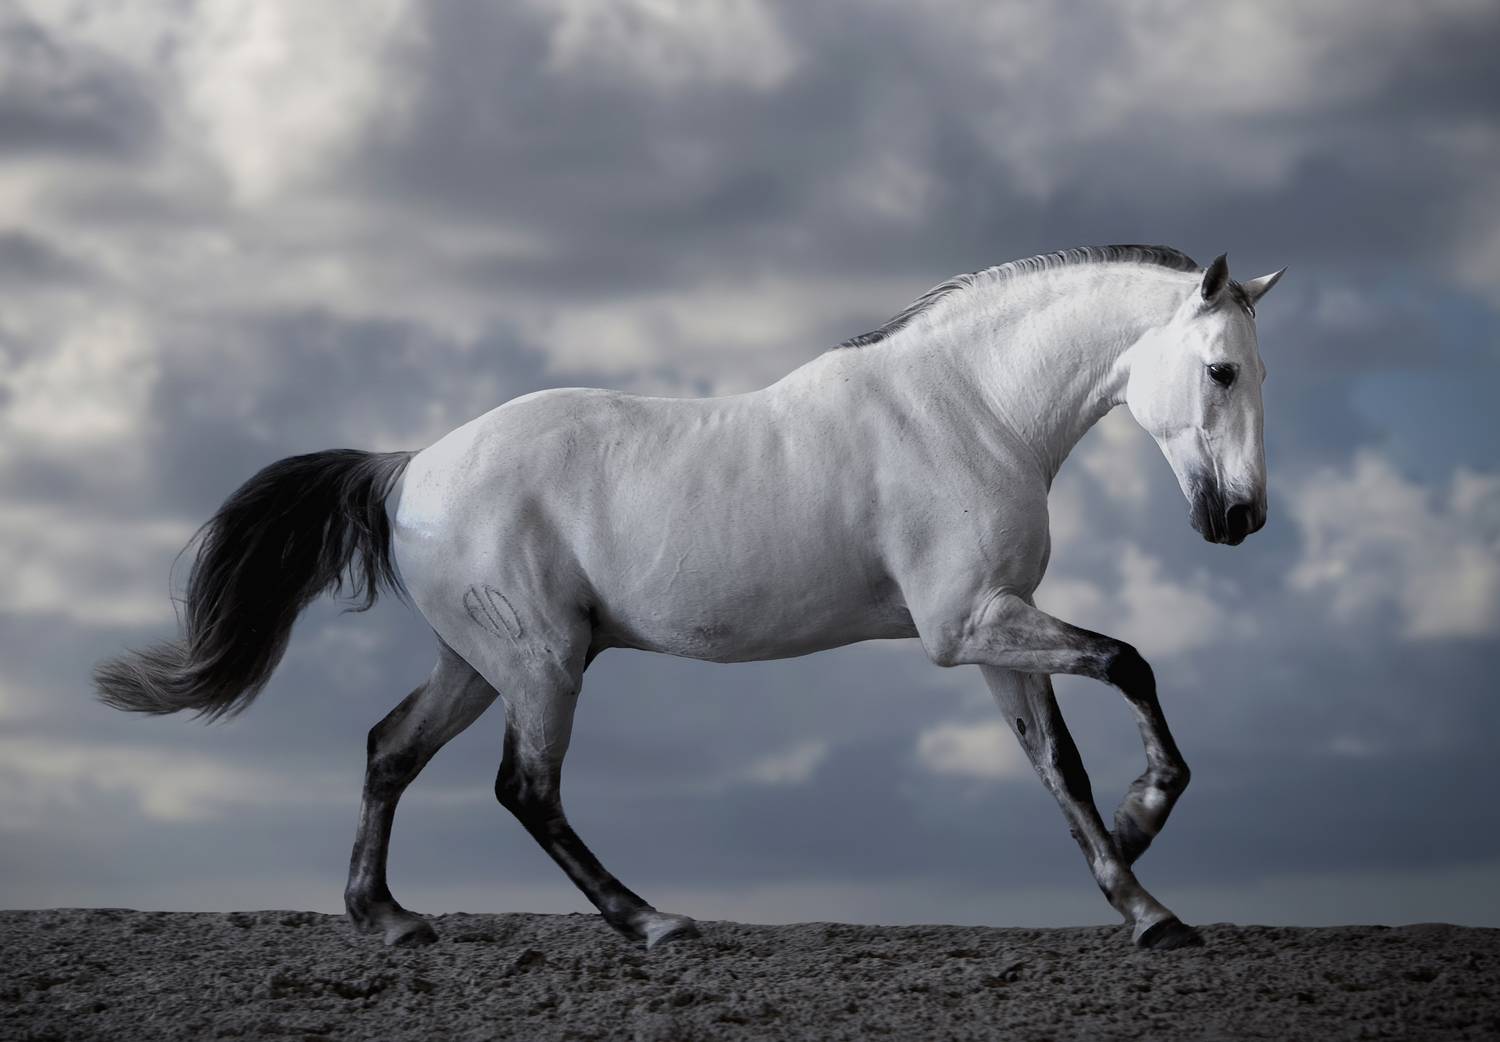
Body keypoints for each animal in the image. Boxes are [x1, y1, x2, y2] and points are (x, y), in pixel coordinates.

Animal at [96, 244, 1285, 952]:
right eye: (1222, 370)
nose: (1241, 518)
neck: (968, 407)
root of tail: (408, 469)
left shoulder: (995, 630)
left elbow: (1059, 767)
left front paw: (1145, 903)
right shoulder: (967, 628)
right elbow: (1131, 660)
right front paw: (1144, 826)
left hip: (480, 662)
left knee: (392, 749)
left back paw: (388, 919)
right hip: (543, 664)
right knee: (525, 788)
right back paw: (652, 921)